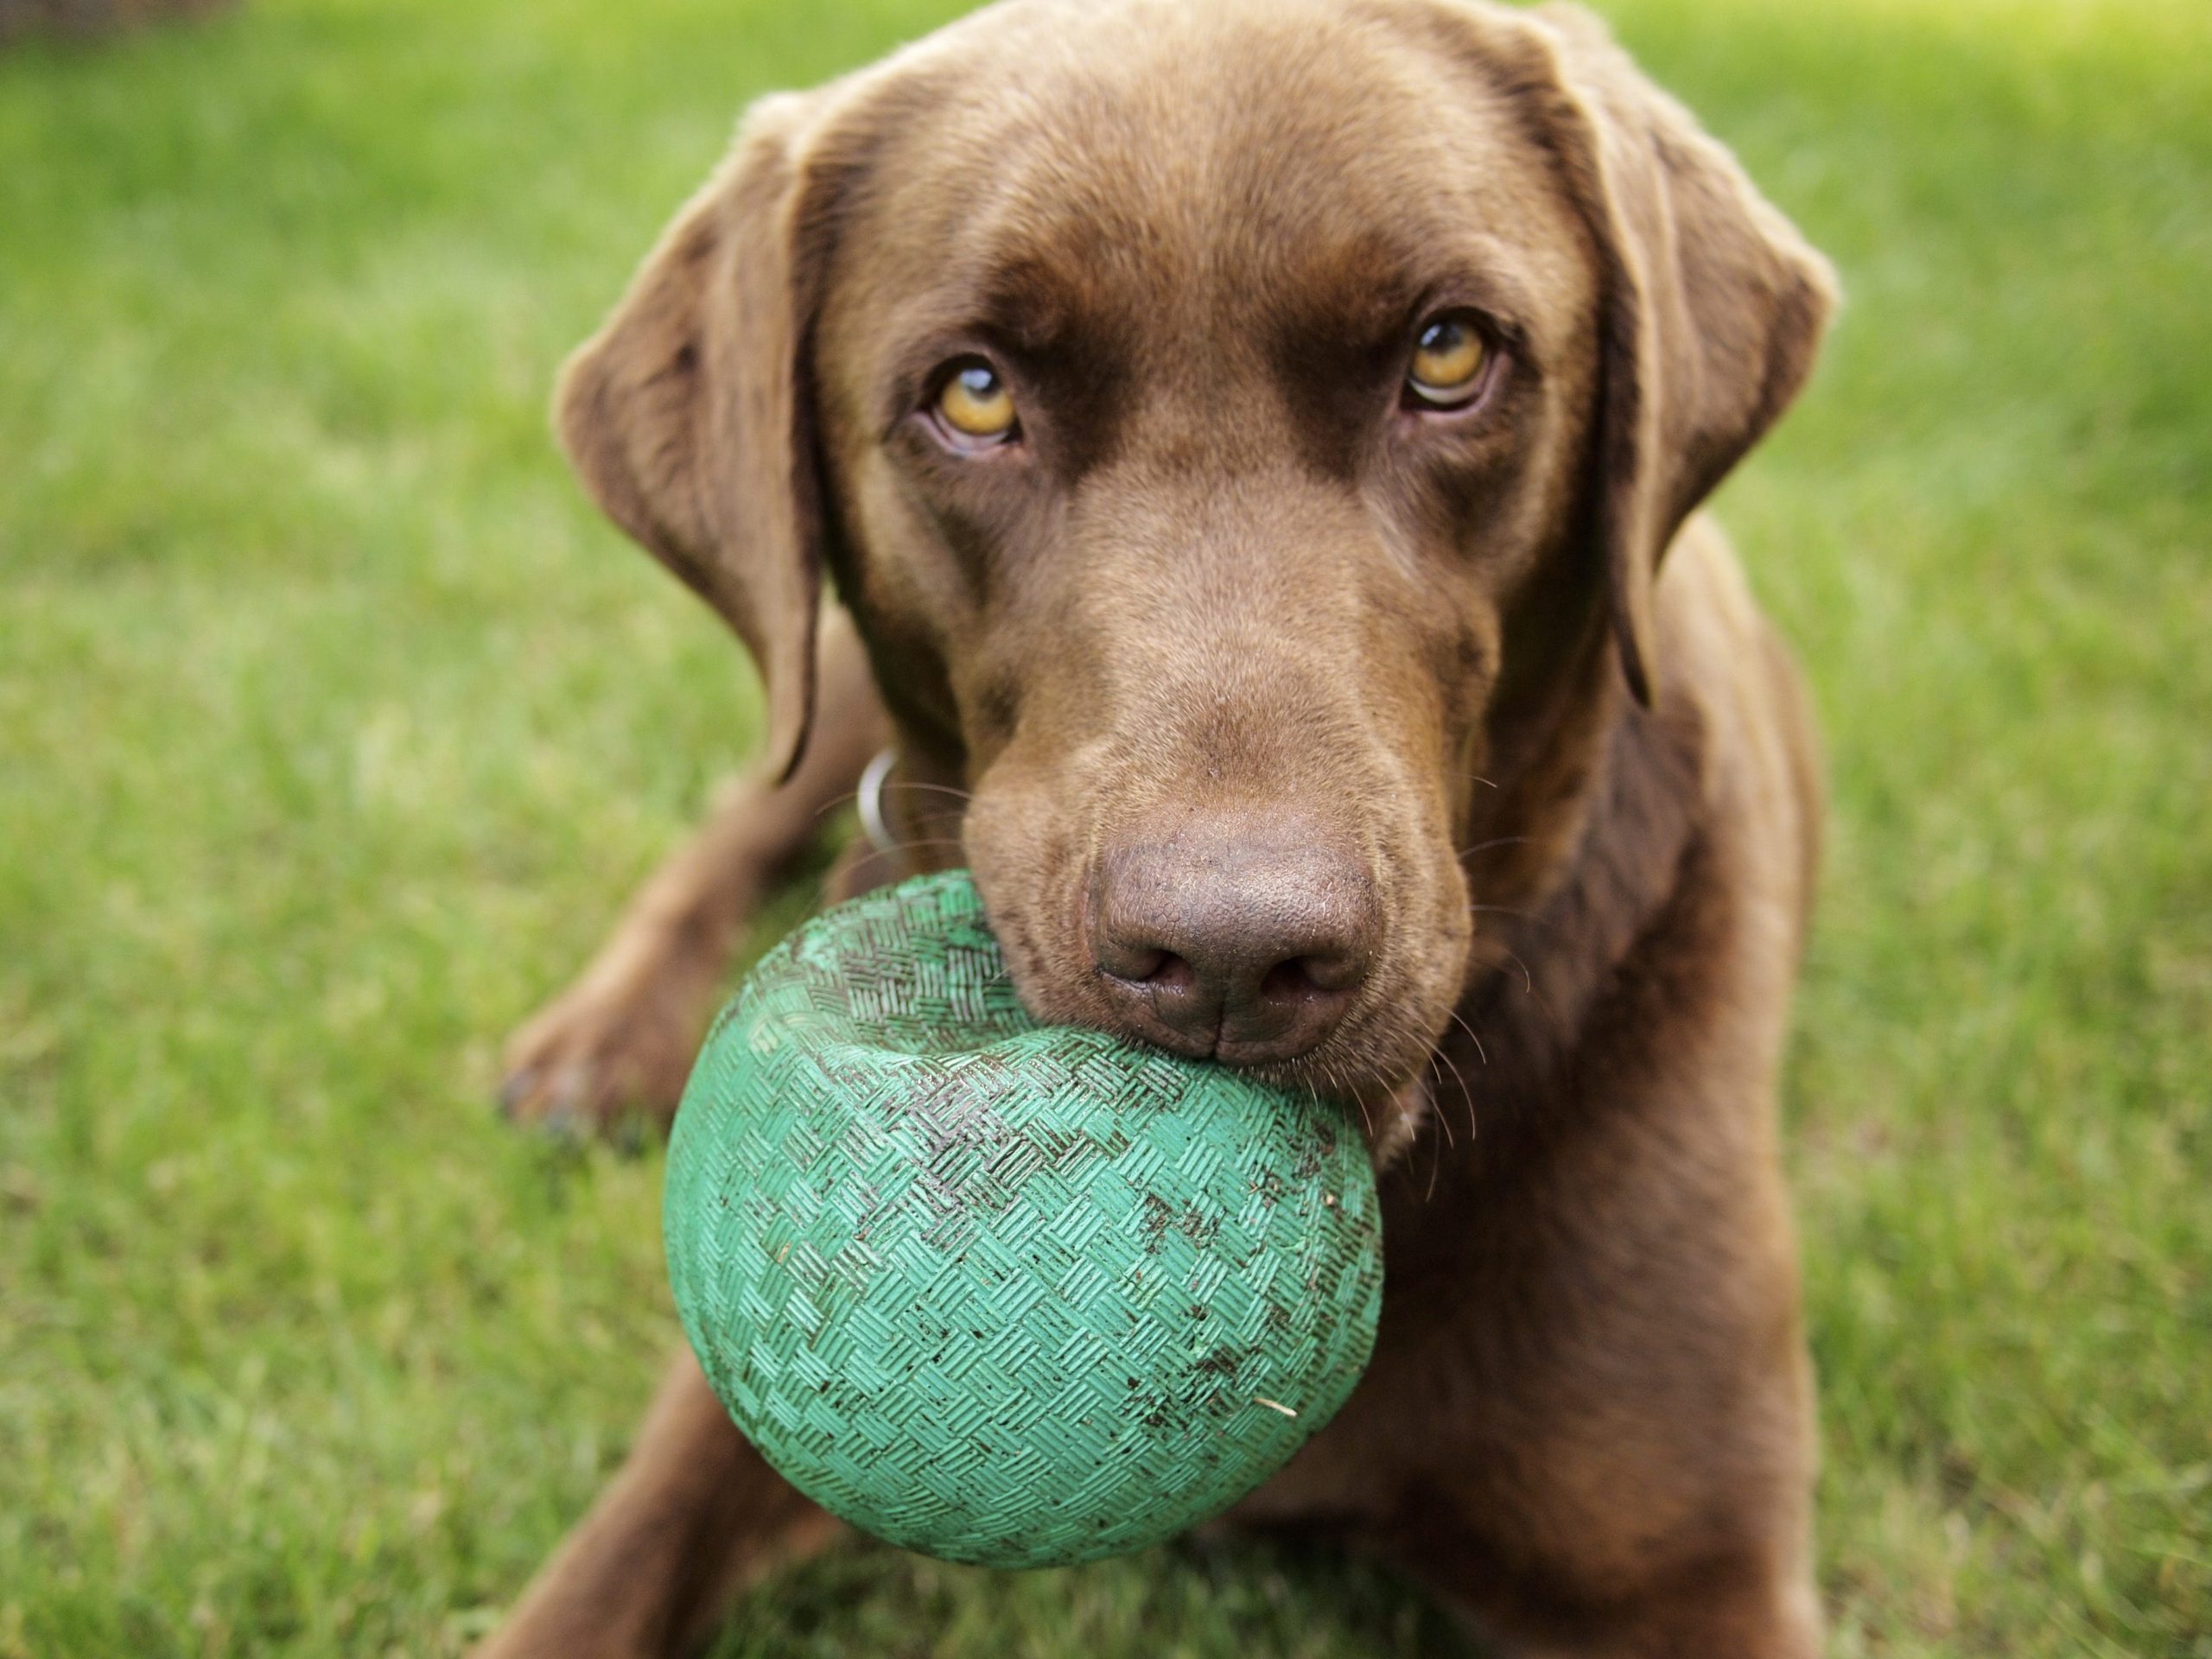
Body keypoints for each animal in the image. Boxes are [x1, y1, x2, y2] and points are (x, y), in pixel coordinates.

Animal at [484, 6, 1831, 1654]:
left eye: (1448, 353)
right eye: (974, 392)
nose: (1237, 954)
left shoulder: (1700, 1567)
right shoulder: (722, 1427)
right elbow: (595, 1580)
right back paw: (595, 1048)